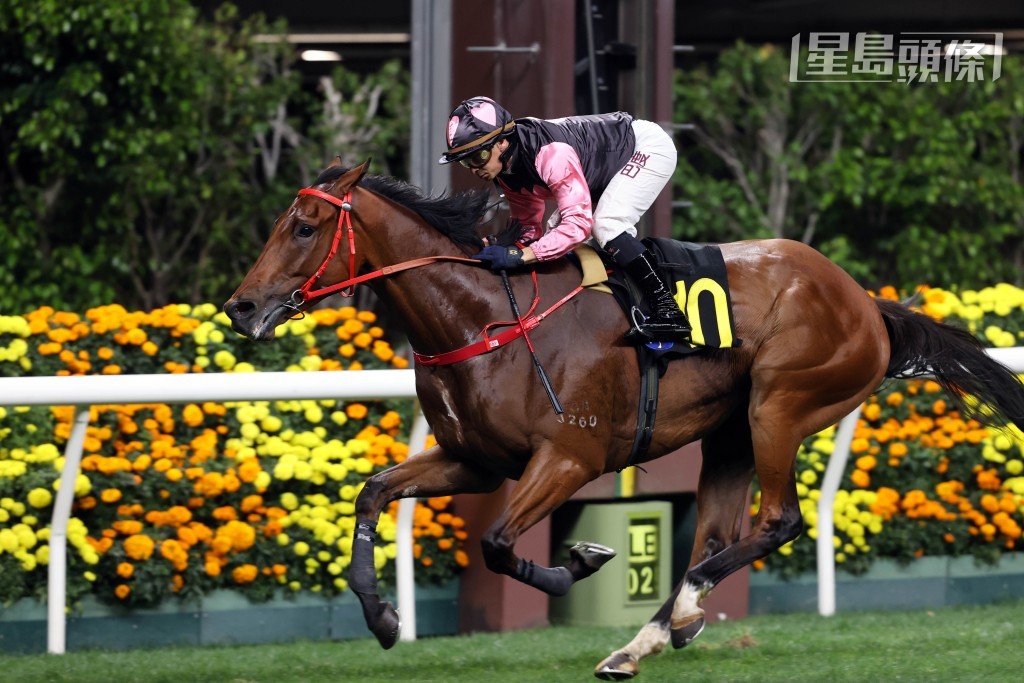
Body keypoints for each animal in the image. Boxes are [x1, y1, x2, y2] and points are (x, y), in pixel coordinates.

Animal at [224, 160, 1024, 680]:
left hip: (779, 404)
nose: (240, 306)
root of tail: (867, 303)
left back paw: (678, 614)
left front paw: (581, 560)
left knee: (779, 521)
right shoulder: (475, 460)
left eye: (303, 226)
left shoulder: (569, 458)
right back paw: (652, 636)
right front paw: (383, 618)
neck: (482, 318)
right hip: (730, 433)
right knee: (715, 534)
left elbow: (498, 541)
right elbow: (374, 492)